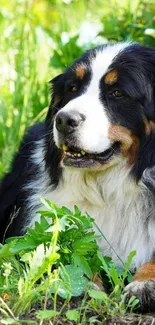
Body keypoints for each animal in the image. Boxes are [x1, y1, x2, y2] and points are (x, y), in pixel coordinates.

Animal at [0, 43, 155, 308]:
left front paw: (145, 283)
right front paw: (78, 281)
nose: (64, 120)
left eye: (117, 93)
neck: (110, 188)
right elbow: (62, 251)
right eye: (72, 88)